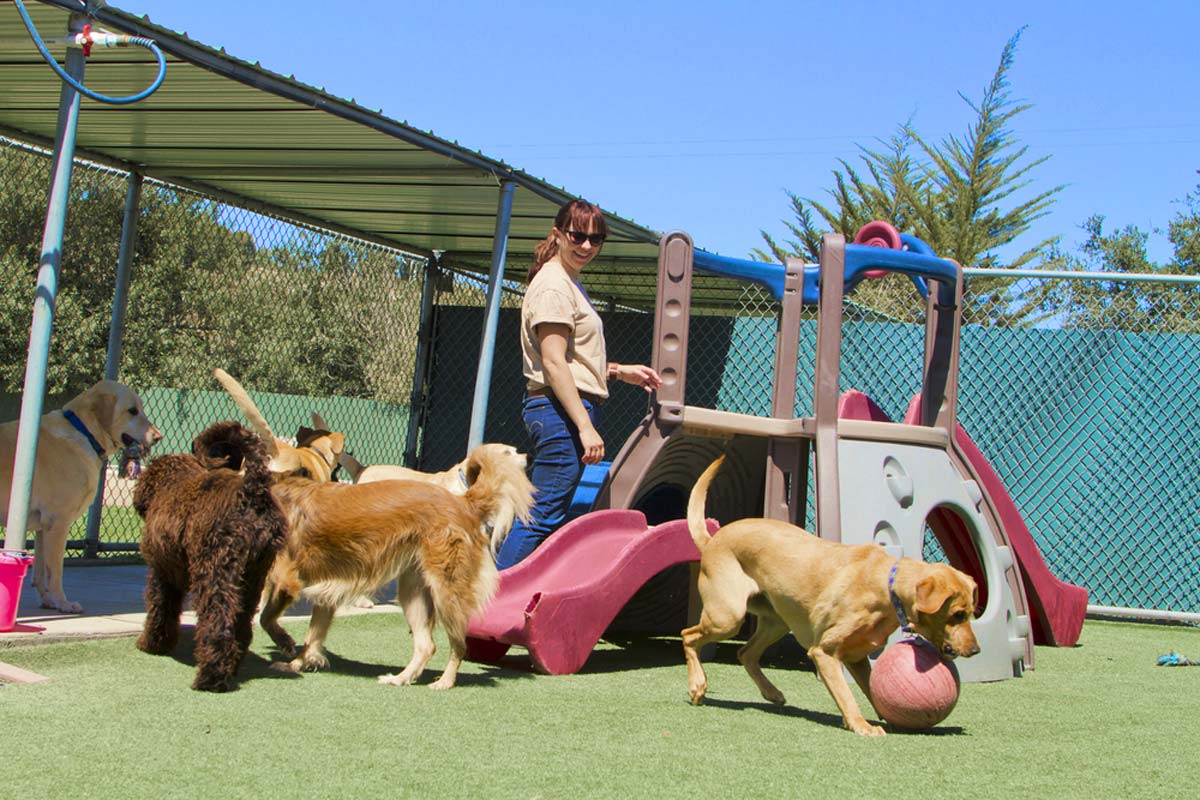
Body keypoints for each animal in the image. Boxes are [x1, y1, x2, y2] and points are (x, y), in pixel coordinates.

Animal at [0, 381, 162, 614]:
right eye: (132, 411)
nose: (159, 437)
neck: (85, 432)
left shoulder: (42, 527)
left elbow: (40, 572)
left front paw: (48, 601)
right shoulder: (58, 523)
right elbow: (55, 572)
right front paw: (62, 603)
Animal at [134, 422, 288, 690]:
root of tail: (251, 490)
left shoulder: (162, 572)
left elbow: (159, 609)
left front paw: (152, 644)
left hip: (215, 571)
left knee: (218, 622)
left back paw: (210, 677)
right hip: (252, 577)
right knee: (241, 624)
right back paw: (232, 667)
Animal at [261, 443, 535, 690]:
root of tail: (463, 502)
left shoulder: (287, 579)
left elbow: (267, 617)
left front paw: (285, 643)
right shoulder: (325, 593)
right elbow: (312, 637)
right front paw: (298, 663)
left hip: (445, 592)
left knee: (459, 645)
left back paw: (444, 682)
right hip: (414, 592)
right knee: (426, 646)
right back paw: (401, 678)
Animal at [681, 455, 979, 738]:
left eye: (970, 614)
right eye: (957, 614)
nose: (975, 650)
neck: (885, 584)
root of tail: (712, 540)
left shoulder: (857, 657)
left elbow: (872, 691)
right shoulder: (824, 652)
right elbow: (846, 695)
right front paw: (862, 726)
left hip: (776, 621)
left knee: (745, 653)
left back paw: (771, 692)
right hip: (728, 617)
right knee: (689, 636)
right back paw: (698, 685)